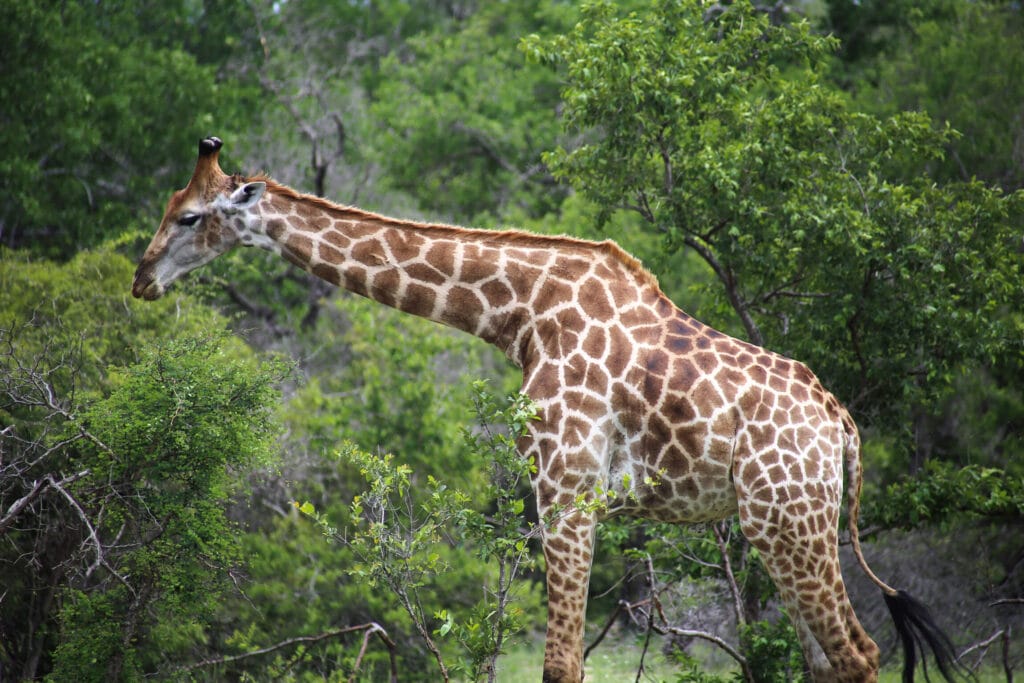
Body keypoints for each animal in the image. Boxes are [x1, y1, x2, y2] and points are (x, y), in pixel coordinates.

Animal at [132, 139, 962, 683]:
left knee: (858, 652)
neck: (520, 314)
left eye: (190, 216)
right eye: (169, 208)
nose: (141, 278)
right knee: (832, 659)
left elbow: (561, 662)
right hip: (786, 524)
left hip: (786, 518)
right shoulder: (566, 488)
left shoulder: (566, 482)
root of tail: (841, 426)